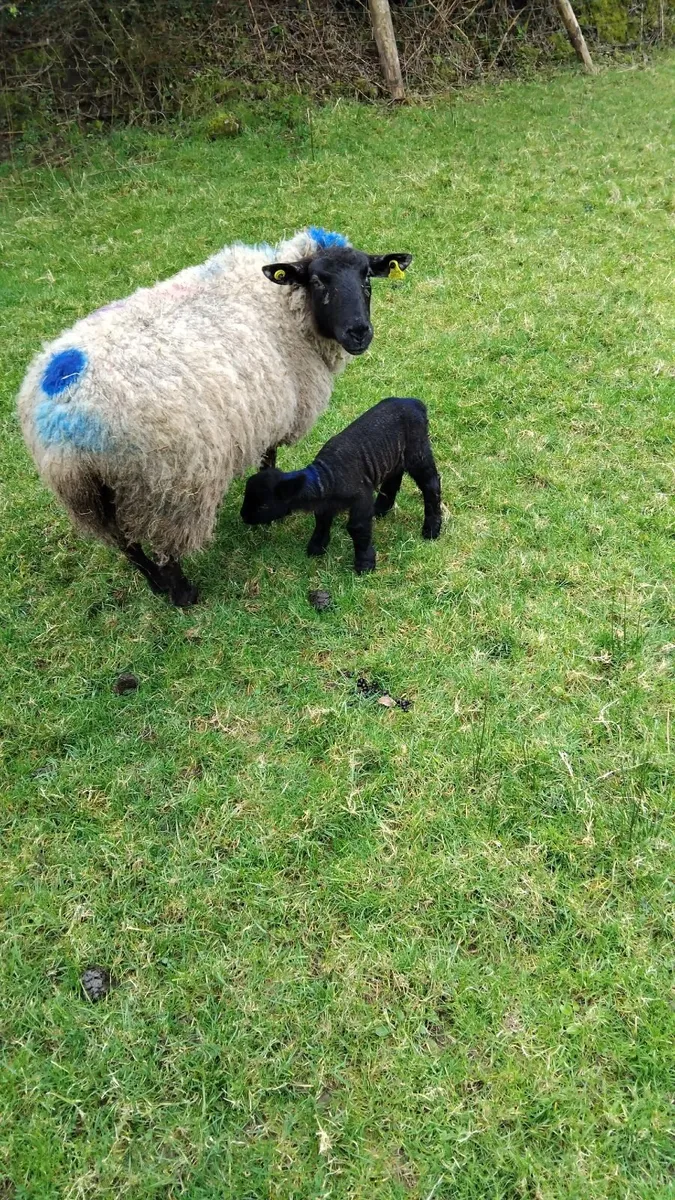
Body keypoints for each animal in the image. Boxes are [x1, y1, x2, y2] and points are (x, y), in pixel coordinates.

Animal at [17, 227, 412, 605]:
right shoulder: (274, 411)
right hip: (165, 488)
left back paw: (156, 585)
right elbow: (269, 456)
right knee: (163, 547)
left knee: (128, 545)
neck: (279, 305)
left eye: (366, 276)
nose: (359, 333)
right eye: (317, 281)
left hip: (95, 500)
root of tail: (64, 429)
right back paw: (183, 595)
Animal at [240, 396, 442, 573]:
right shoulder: (325, 504)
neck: (326, 477)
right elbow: (321, 521)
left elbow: (357, 527)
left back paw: (431, 529)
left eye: (263, 506)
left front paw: (365, 564)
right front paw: (316, 547)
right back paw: (380, 509)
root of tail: (416, 403)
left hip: (418, 450)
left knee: (431, 484)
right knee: (393, 478)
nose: (243, 516)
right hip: (396, 456)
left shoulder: (361, 496)